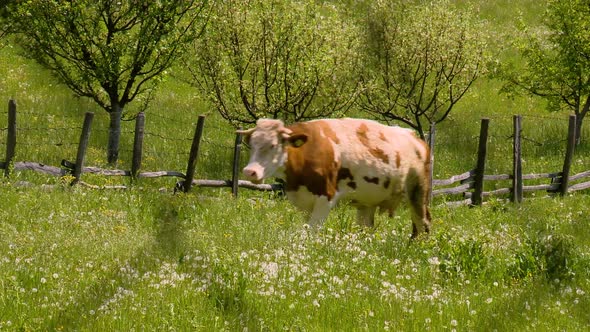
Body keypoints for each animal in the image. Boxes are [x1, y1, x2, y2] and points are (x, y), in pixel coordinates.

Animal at [237, 118, 434, 237]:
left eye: (273, 145)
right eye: (251, 144)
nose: (249, 171)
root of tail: (417, 139)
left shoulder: (326, 197)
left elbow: (312, 232)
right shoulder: (304, 201)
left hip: (418, 192)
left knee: (422, 224)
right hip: (366, 202)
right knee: (365, 227)